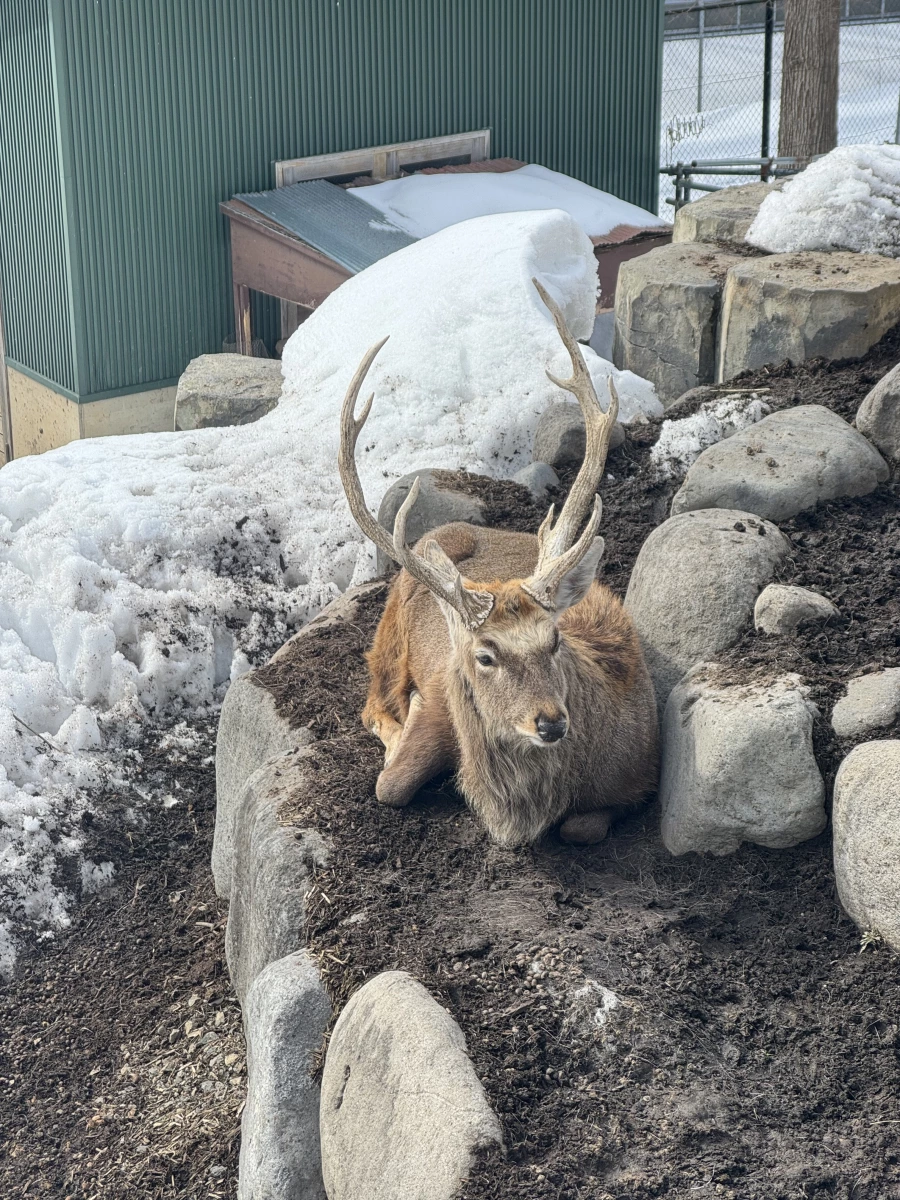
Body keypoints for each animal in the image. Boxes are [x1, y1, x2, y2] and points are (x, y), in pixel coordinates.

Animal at [338, 279, 659, 847]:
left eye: (554, 640)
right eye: (485, 656)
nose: (551, 722)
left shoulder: (642, 772)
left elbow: (583, 827)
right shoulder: (440, 702)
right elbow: (389, 785)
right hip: (390, 628)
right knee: (372, 699)